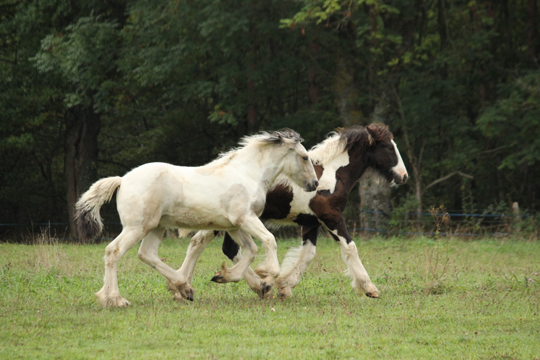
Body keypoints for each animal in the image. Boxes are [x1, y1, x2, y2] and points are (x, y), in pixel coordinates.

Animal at [74, 129, 318, 306]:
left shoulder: (234, 226)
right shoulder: (245, 219)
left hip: (155, 227)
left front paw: (227, 277)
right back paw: (115, 299)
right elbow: (268, 241)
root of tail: (122, 180)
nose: (314, 184)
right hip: (137, 227)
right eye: (305, 157)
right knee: (114, 252)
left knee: (147, 254)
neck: (247, 174)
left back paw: (184, 287)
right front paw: (267, 279)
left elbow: (250, 250)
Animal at [175, 124, 408, 300]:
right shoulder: (331, 218)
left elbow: (307, 254)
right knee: (216, 247)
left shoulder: (311, 222)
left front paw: (285, 286)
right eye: (389, 147)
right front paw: (370, 288)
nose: (403, 176)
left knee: (206, 245)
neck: (332, 175)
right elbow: (350, 247)